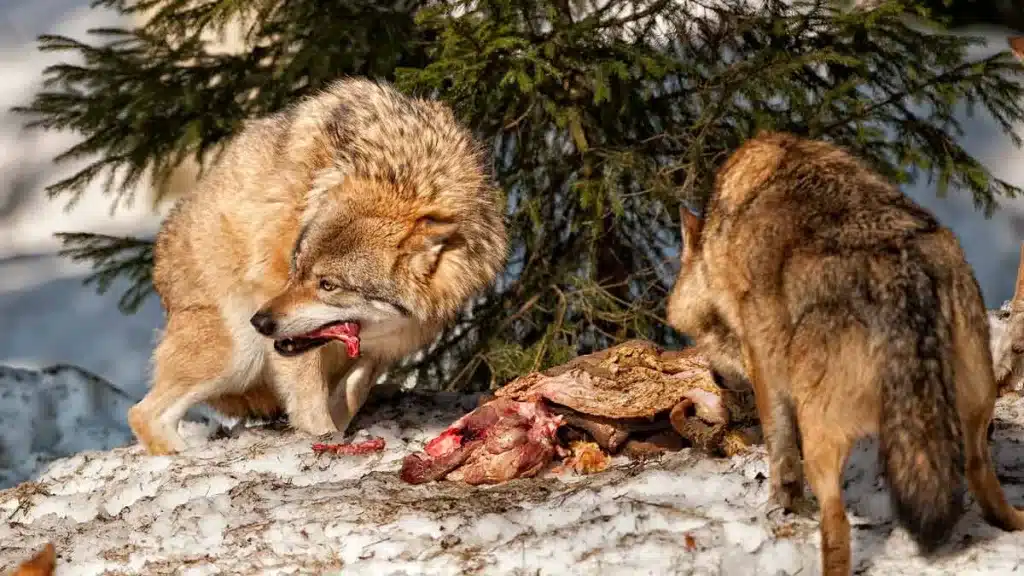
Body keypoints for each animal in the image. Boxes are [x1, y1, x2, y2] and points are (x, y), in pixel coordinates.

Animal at [128, 77, 507, 453]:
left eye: (328, 285)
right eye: (297, 269)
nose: (261, 322)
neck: (405, 177)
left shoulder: (393, 339)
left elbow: (355, 386)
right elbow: (309, 395)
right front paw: (321, 436)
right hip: (238, 355)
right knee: (142, 414)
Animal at [663, 132, 1024, 569]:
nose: (717, 379)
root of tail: (902, 280)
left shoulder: (765, 367)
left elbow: (781, 451)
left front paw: (780, 505)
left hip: (823, 435)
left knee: (836, 521)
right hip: (975, 410)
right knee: (981, 477)